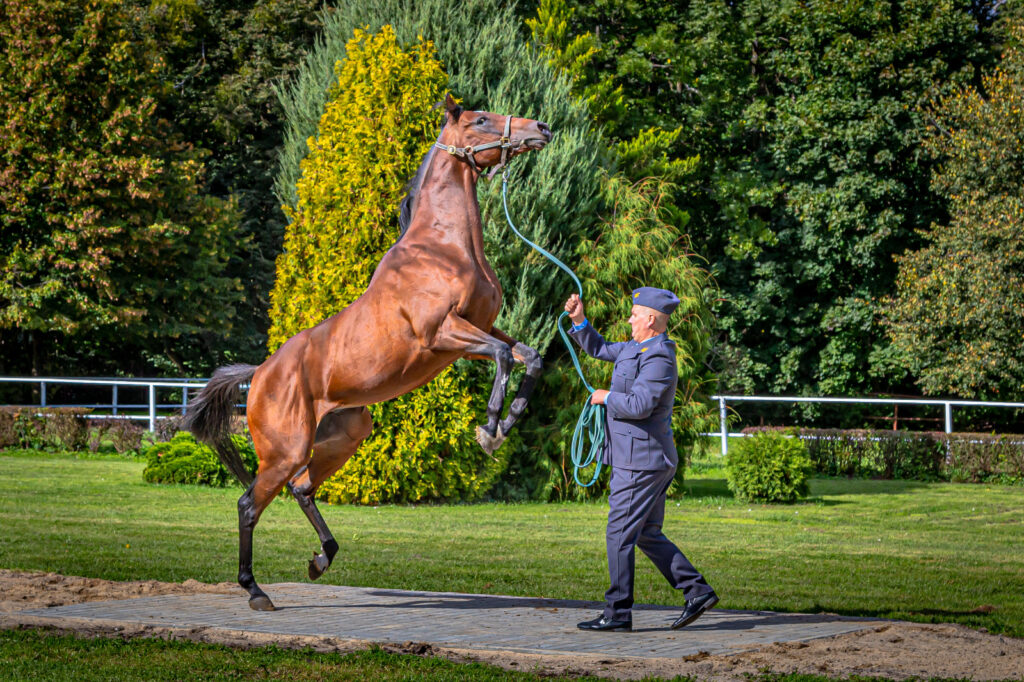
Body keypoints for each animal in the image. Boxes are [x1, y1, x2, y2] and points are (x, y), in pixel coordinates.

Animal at [184, 93, 552, 606]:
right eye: (481, 120)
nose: (541, 128)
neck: (443, 247)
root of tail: (259, 374)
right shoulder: (443, 333)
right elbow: (502, 357)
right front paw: (490, 429)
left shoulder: (477, 332)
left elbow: (530, 357)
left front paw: (508, 421)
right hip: (285, 450)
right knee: (249, 504)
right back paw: (256, 590)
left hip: (341, 437)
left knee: (302, 489)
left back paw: (320, 560)